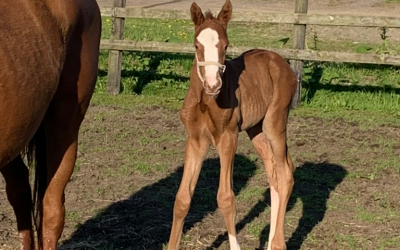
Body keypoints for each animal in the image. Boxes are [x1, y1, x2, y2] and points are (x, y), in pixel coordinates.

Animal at [167, 0, 298, 250]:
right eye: (196, 45)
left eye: (226, 46)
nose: (213, 84)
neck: (205, 100)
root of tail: (279, 60)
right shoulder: (196, 140)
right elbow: (182, 198)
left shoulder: (227, 137)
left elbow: (225, 198)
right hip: (255, 129)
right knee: (273, 174)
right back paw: (269, 243)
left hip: (274, 122)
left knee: (285, 173)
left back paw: (277, 243)